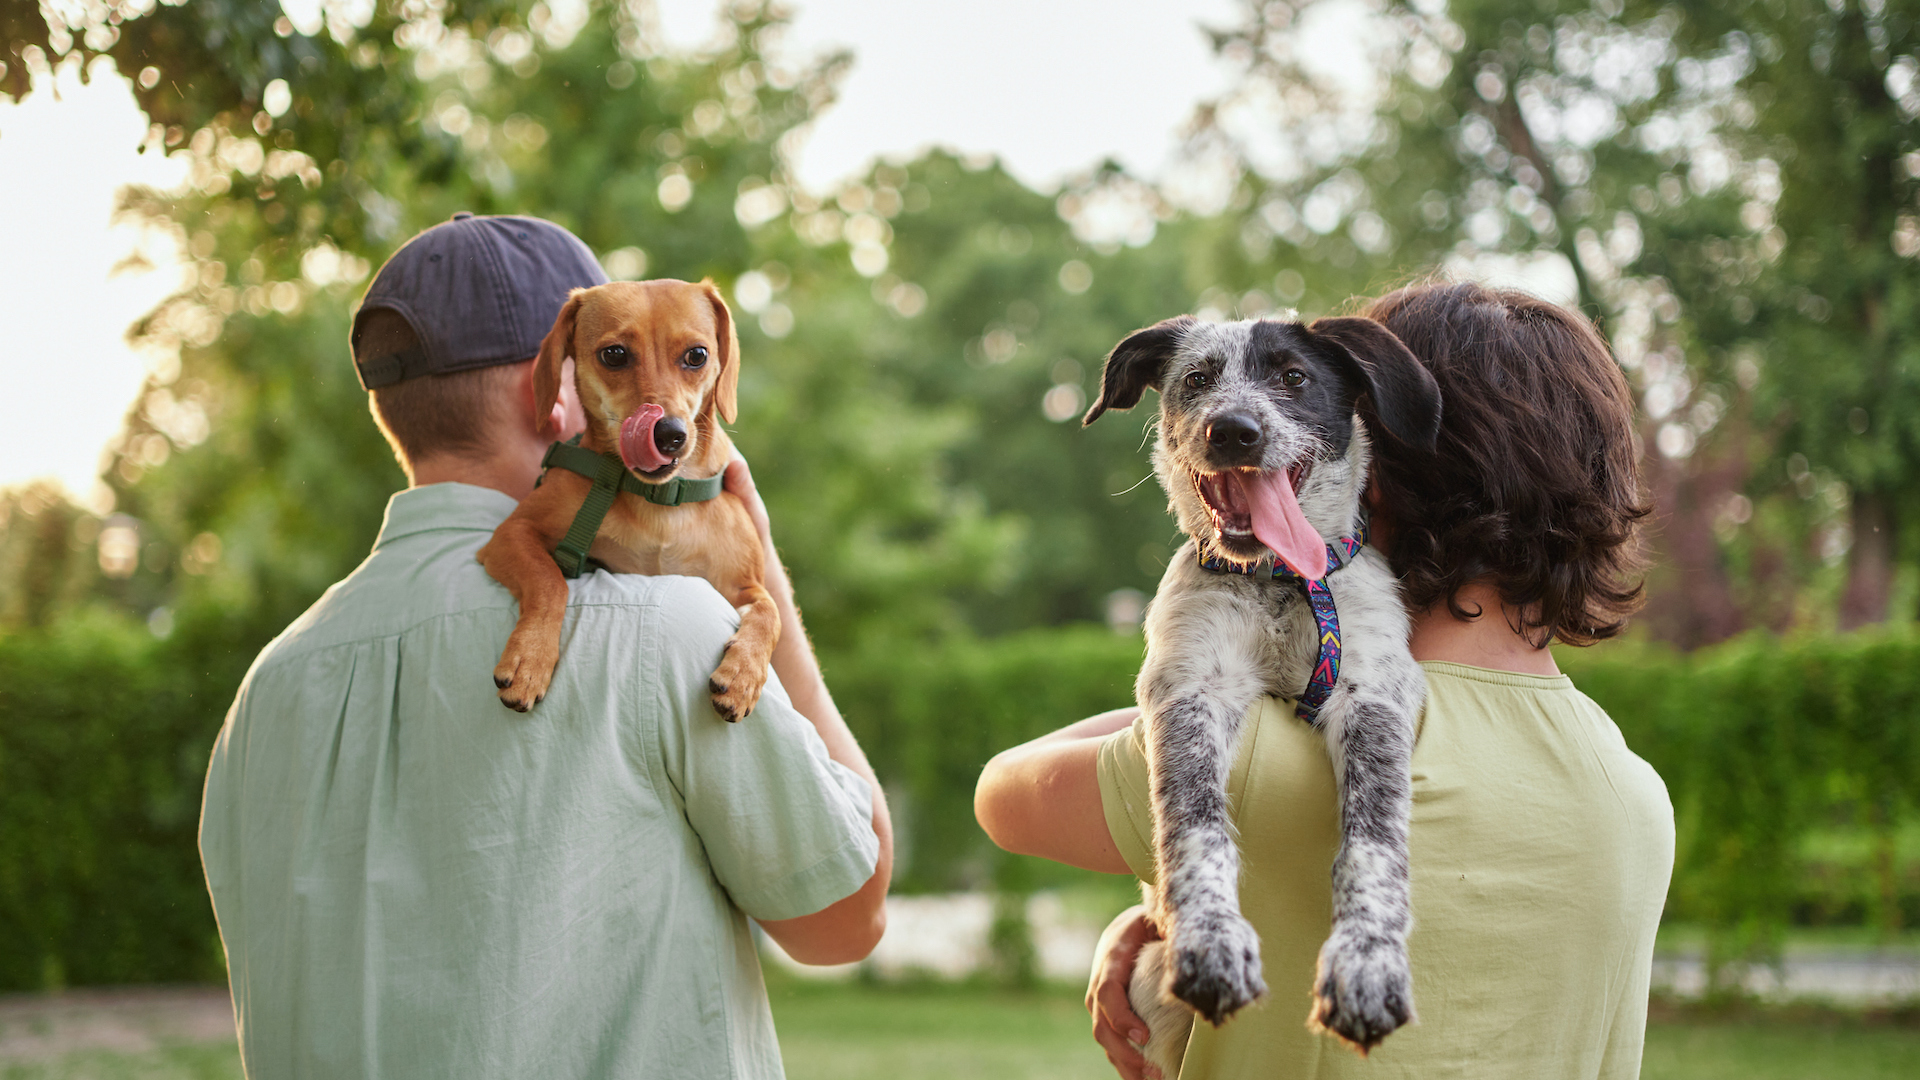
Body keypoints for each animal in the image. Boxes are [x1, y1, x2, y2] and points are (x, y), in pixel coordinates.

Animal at [476, 276, 775, 718]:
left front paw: (743, 675)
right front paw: (530, 659)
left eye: (697, 355)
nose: (668, 434)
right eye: (614, 355)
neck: (660, 501)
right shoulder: (512, 534)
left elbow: (771, 613)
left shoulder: (744, 584)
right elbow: (549, 581)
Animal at [1082, 309, 1443, 1060]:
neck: (1279, 582)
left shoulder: (1373, 694)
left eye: (1295, 377)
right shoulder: (1190, 690)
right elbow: (1195, 827)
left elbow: (1373, 843)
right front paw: (1211, 945)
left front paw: (1367, 967)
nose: (1234, 431)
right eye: (1198, 379)